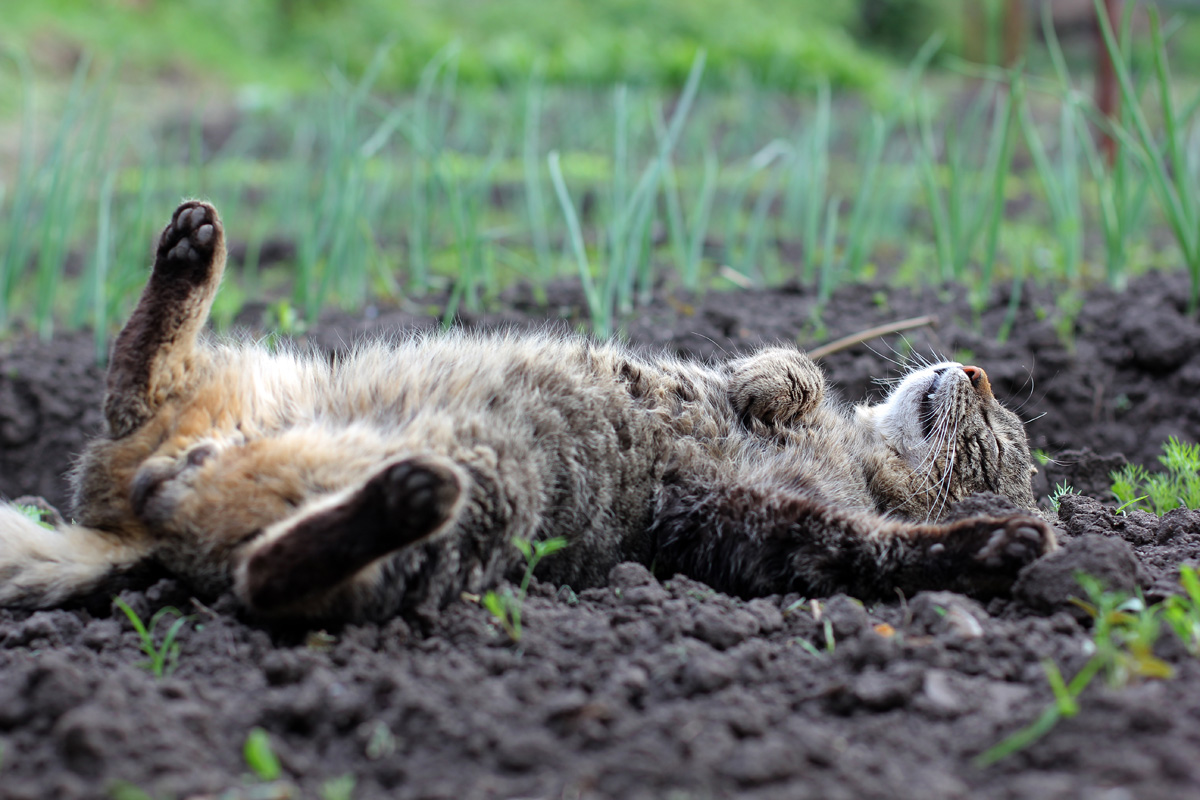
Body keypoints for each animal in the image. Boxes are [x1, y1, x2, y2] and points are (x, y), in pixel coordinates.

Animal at [0, 203, 1051, 623]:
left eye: (1001, 448)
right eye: (1003, 418)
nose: (981, 367)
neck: (862, 457)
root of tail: (141, 532)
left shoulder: (747, 527)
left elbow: (872, 547)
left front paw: (992, 544)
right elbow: (779, 364)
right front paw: (778, 385)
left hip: (490, 495)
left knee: (266, 581)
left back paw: (401, 497)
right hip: (262, 380)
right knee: (134, 388)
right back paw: (190, 256)